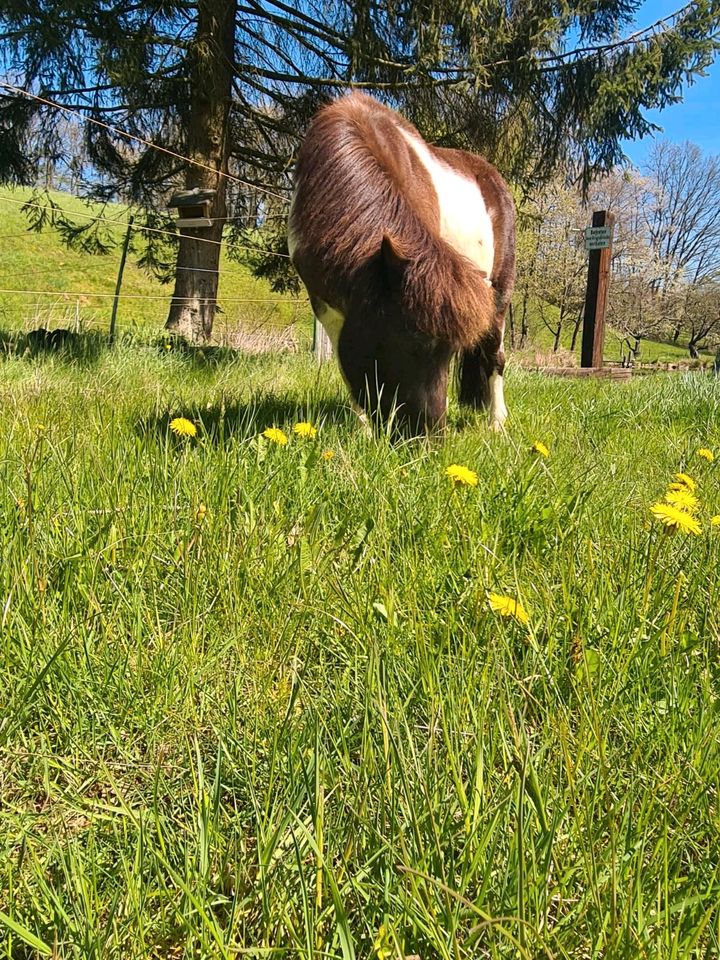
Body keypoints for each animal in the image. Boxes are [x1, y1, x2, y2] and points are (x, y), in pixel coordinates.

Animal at [288, 94, 516, 436]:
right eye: (412, 345)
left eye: (448, 352)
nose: (430, 435)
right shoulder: (324, 302)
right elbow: (346, 363)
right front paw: (364, 430)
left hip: (499, 295)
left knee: (494, 356)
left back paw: (496, 423)